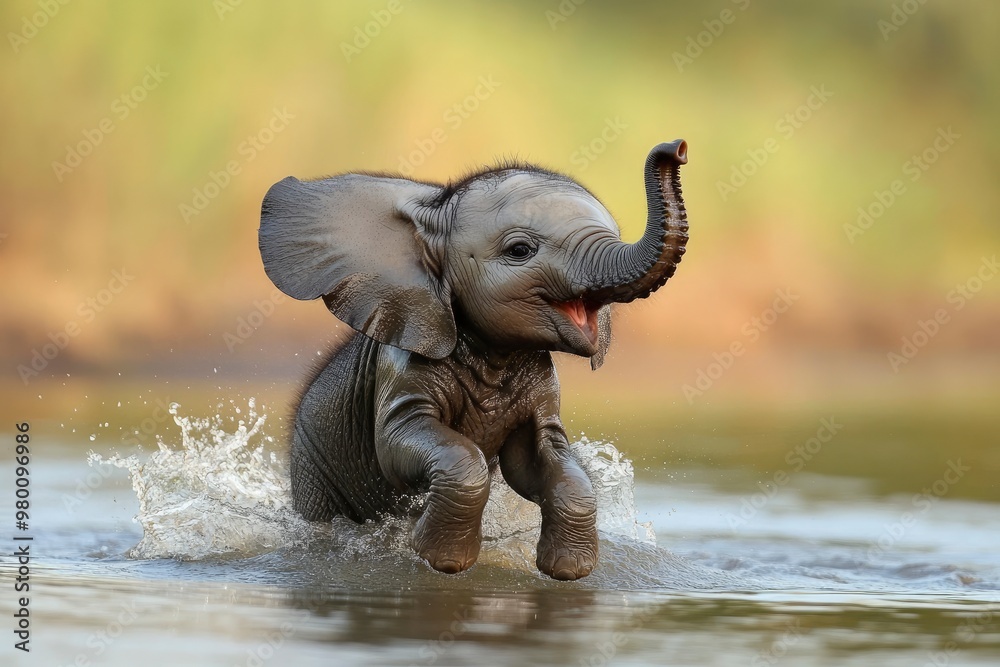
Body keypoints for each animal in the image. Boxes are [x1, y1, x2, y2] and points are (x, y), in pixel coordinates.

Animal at [258, 140, 689, 580]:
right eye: (520, 251)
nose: (676, 149)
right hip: (313, 476)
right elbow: (403, 444)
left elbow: (540, 460)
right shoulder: (402, 362)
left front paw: (569, 569)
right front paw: (442, 560)